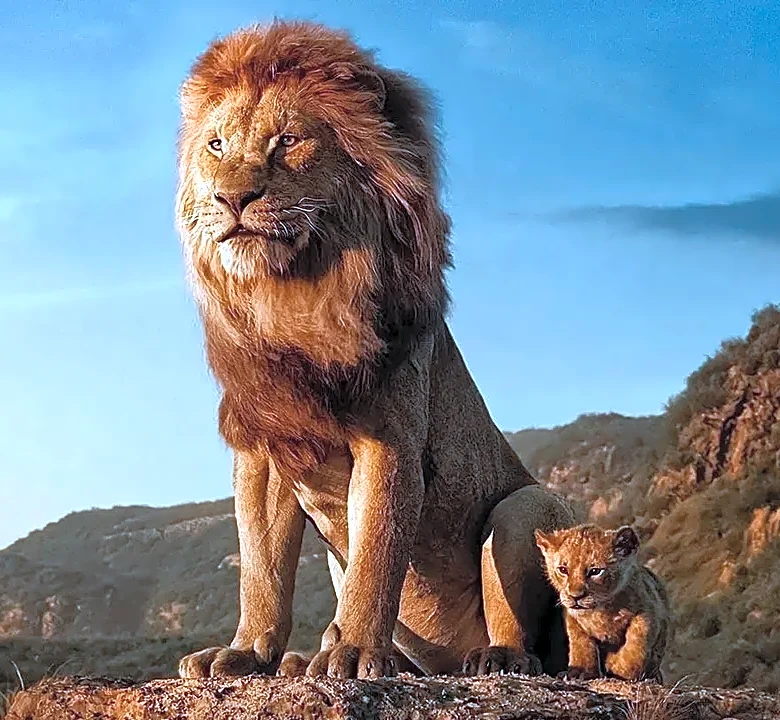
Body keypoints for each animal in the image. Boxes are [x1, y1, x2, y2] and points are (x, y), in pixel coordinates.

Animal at [175, 20, 575, 680]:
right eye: (216, 145)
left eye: (287, 141)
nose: (233, 199)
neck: (292, 297)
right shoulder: (264, 449)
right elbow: (261, 568)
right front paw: (247, 652)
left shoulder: (389, 439)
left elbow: (377, 553)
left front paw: (358, 651)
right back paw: (306, 657)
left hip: (525, 507)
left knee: (528, 640)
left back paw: (492, 657)